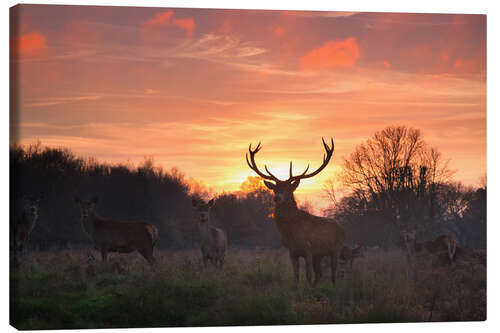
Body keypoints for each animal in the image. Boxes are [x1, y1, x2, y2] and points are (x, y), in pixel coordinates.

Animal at [245, 137, 344, 286]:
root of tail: (341, 227)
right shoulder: (292, 251)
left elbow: (308, 275)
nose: (277, 197)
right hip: (319, 255)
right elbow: (296, 276)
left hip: (336, 249)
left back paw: (333, 287)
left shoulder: (308, 249)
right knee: (319, 273)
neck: (292, 233)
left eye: (287, 189)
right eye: (275, 189)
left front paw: (307, 290)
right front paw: (298, 289)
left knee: (333, 273)